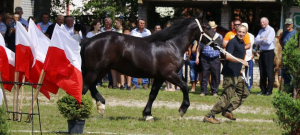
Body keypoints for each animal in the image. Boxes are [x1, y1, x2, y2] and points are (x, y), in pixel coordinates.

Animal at [81, 13, 221, 121]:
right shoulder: (169, 74)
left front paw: (147, 114)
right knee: (85, 87)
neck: (171, 45)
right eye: (207, 27)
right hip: (95, 71)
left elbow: (153, 95)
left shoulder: (159, 77)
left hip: (101, 70)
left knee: (91, 86)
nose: (219, 41)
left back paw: (101, 106)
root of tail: (88, 40)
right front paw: (183, 109)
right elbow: (185, 86)